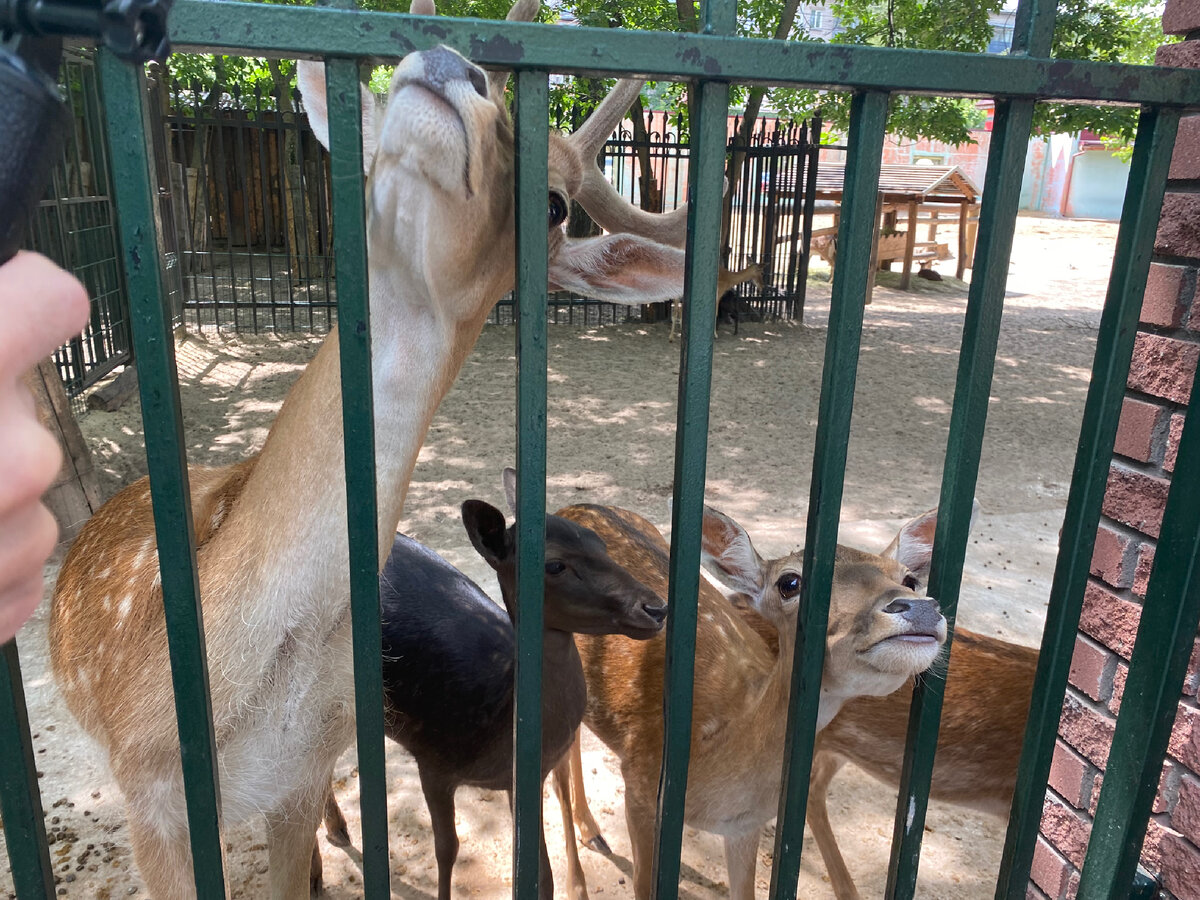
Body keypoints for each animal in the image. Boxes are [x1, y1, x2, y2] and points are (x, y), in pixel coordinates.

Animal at [312, 496, 667, 900]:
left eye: (601, 543)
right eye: (555, 565)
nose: (655, 608)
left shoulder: (525, 777)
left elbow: (540, 873)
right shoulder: (432, 760)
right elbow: (447, 849)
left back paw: (336, 829)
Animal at [549, 501, 950, 900]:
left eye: (909, 579)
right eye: (790, 583)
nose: (920, 608)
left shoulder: (746, 825)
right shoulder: (640, 783)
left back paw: (590, 829)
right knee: (557, 776)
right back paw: (579, 875)